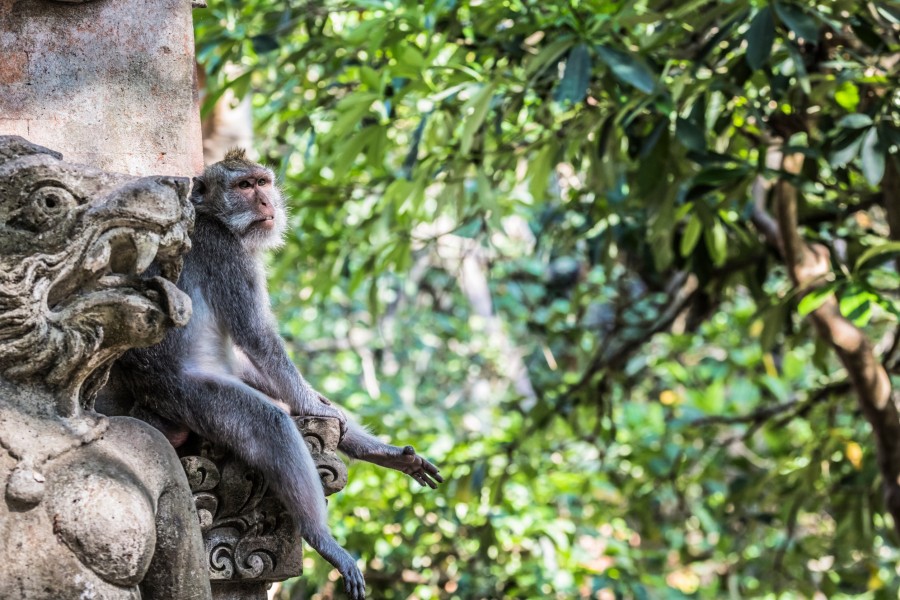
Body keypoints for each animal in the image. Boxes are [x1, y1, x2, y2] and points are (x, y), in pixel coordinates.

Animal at [105, 149, 442, 600]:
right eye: (244, 186)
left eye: (262, 182)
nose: (265, 201)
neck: (214, 219)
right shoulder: (227, 254)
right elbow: (256, 334)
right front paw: (314, 407)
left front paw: (330, 414)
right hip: (187, 394)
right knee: (269, 423)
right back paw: (320, 536)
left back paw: (374, 450)